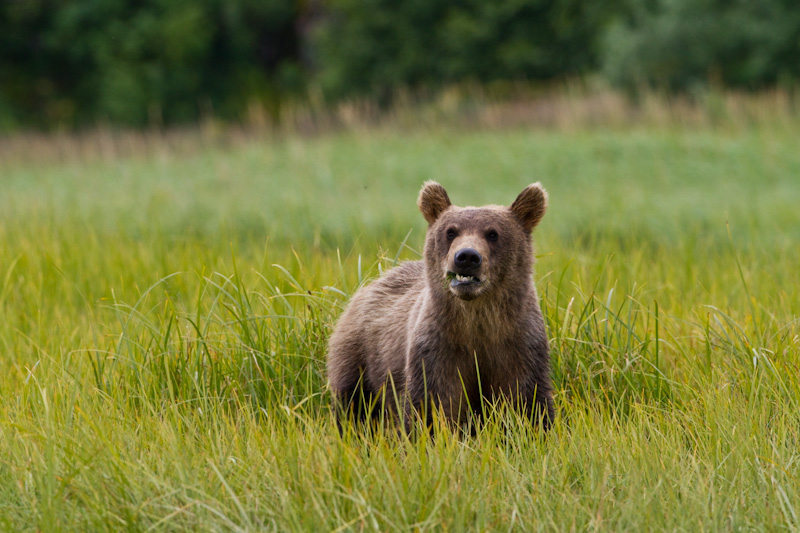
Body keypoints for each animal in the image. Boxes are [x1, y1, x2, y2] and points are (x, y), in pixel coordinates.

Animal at [328, 181, 552, 430]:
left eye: (493, 233)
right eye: (450, 231)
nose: (467, 256)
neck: (477, 322)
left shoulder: (519, 345)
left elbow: (526, 399)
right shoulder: (438, 349)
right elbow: (431, 403)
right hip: (359, 354)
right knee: (353, 402)